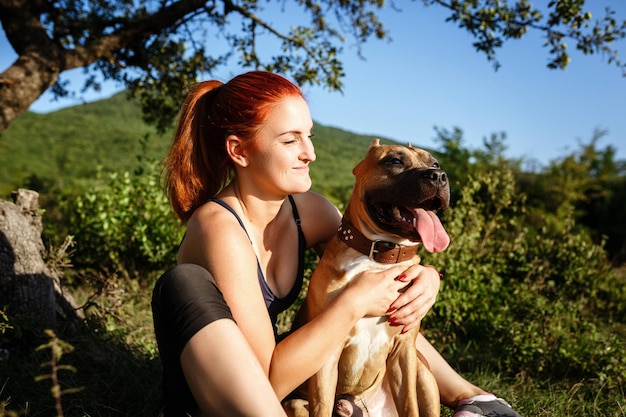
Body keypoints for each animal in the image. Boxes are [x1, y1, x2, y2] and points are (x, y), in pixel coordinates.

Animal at [282, 139, 448, 416]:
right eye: (395, 161)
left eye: (435, 163)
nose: (439, 175)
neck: (378, 256)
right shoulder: (328, 350)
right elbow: (322, 404)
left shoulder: (404, 350)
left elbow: (410, 405)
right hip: (295, 403)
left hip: (423, 373)